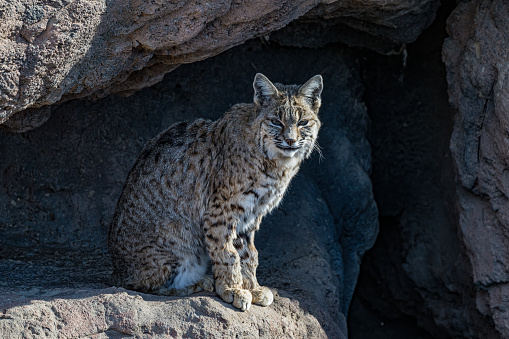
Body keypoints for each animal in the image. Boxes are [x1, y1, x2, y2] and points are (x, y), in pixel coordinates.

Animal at [107, 73, 324, 312]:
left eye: (303, 122)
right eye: (276, 121)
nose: (291, 141)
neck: (275, 160)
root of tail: (117, 270)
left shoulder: (250, 213)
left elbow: (249, 253)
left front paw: (253, 289)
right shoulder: (222, 210)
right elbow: (227, 252)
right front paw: (232, 290)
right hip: (178, 236)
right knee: (141, 286)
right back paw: (198, 283)